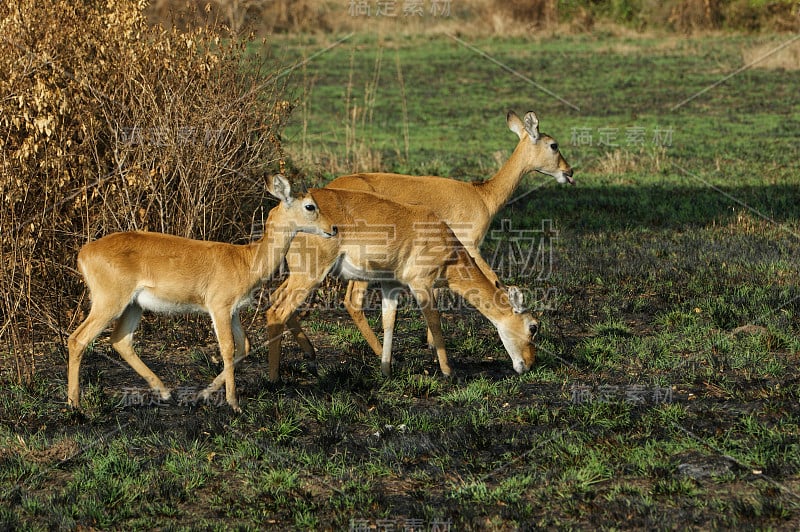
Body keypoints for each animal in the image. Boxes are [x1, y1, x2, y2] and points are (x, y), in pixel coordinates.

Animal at [65, 175, 334, 412]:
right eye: (310, 205)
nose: (333, 228)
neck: (246, 260)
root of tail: (84, 253)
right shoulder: (219, 307)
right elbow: (227, 348)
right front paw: (233, 403)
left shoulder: (233, 311)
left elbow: (243, 346)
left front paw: (202, 394)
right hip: (109, 303)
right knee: (78, 339)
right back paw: (74, 405)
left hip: (133, 306)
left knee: (120, 341)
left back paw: (165, 392)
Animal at [209, 187, 540, 382]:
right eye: (533, 327)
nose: (529, 364)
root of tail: (276, 212)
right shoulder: (422, 285)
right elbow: (435, 322)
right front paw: (449, 372)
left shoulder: (390, 285)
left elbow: (389, 321)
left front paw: (386, 368)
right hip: (310, 275)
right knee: (277, 310)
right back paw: (275, 378)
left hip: (300, 276)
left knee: (277, 302)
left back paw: (309, 355)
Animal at [290, 111, 572, 362]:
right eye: (554, 144)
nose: (569, 171)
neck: (483, 195)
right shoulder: (470, 246)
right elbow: (493, 279)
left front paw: (430, 342)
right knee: (350, 302)